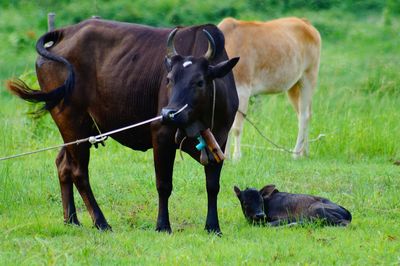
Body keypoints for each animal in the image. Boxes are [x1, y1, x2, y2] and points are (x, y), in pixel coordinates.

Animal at [7, 18, 239, 234]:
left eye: (199, 81)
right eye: (169, 79)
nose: (168, 113)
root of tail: (65, 32)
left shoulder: (220, 140)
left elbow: (212, 185)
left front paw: (213, 227)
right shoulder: (161, 135)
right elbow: (163, 184)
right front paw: (163, 226)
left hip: (80, 131)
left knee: (63, 164)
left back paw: (72, 220)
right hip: (71, 121)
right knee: (78, 172)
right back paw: (101, 222)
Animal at [219, 17, 322, 159]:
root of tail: (305, 22)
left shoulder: (243, 89)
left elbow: (236, 127)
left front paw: (236, 157)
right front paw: (225, 156)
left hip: (308, 78)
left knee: (304, 117)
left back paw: (295, 153)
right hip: (294, 86)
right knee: (304, 114)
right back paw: (304, 152)